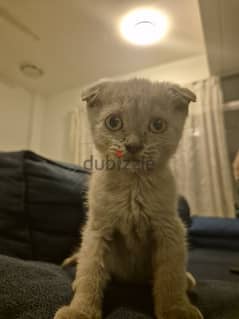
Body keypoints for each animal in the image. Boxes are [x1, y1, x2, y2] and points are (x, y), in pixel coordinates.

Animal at [55, 78, 203, 319]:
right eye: (113, 122)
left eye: (157, 125)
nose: (133, 145)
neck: (133, 188)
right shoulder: (97, 229)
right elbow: (90, 271)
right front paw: (80, 310)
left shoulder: (170, 229)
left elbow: (170, 276)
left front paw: (176, 309)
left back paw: (187, 280)